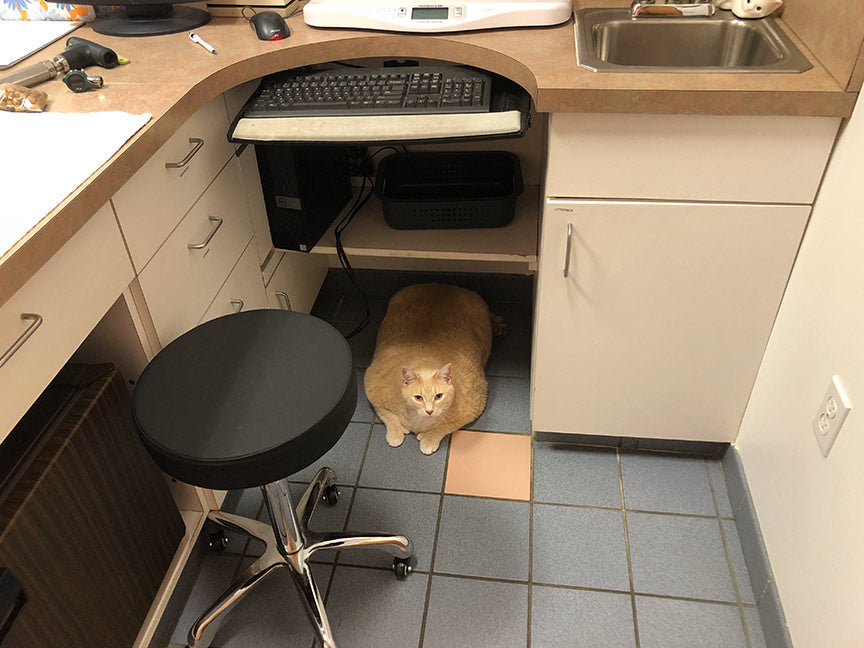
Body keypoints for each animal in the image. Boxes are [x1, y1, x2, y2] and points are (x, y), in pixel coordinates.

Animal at [364, 284, 492, 456]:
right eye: (418, 398)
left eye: (438, 396)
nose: (430, 411)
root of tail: (442, 285)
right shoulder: (372, 385)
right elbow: (387, 415)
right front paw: (395, 433)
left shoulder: (475, 404)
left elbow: (446, 426)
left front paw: (429, 438)